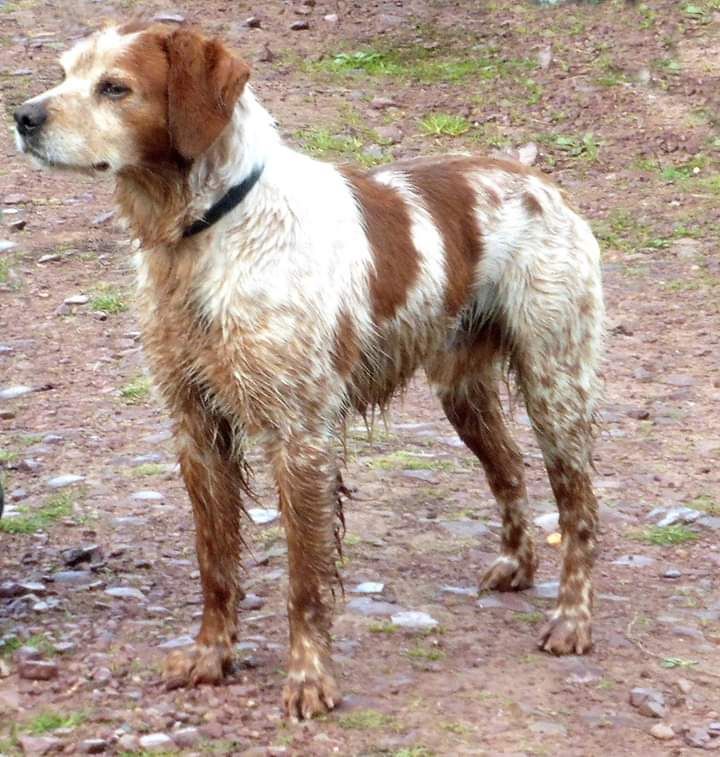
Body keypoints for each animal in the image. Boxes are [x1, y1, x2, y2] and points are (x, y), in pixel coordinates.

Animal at [14, 20, 604, 720]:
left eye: (115, 87)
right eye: (65, 73)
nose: (22, 117)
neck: (205, 235)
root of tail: (540, 182)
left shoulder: (300, 437)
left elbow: (305, 578)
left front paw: (309, 678)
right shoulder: (196, 428)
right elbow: (215, 563)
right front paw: (212, 656)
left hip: (555, 386)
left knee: (578, 511)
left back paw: (572, 620)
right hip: (462, 390)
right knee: (509, 471)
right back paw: (516, 566)